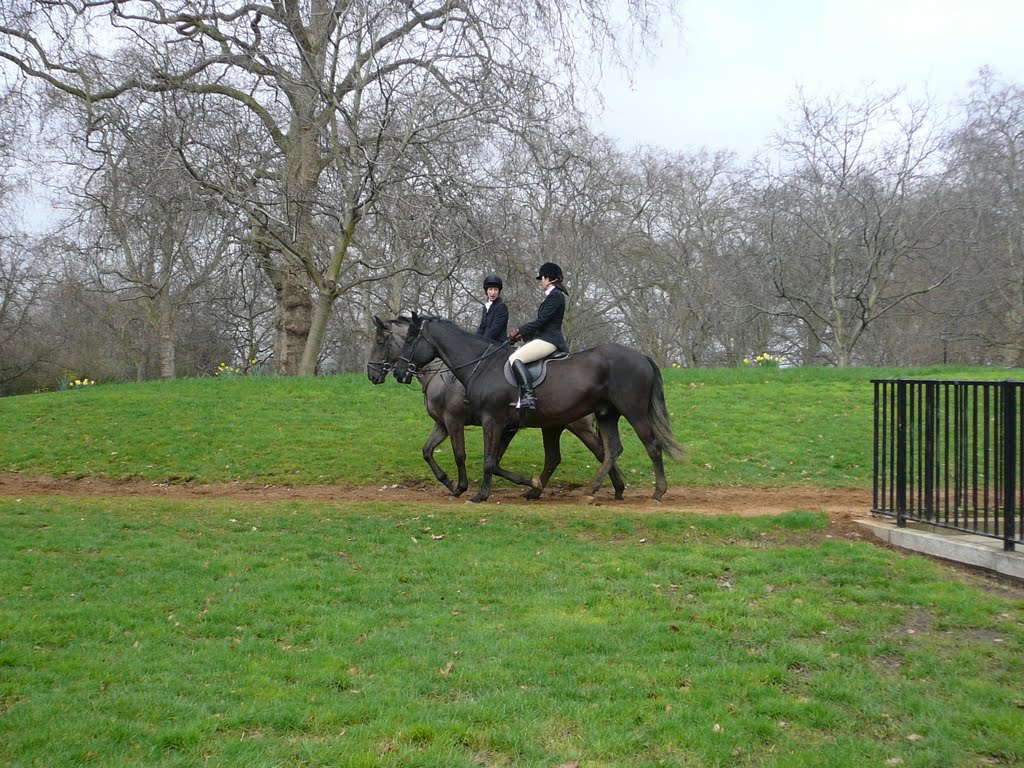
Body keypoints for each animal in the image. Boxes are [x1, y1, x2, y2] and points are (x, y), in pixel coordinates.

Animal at [368, 315, 622, 501]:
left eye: (380, 342)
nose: (373, 375)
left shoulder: (455, 421)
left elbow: (462, 455)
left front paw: (462, 487)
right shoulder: (442, 424)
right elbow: (427, 451)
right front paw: (451, 484)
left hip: (578, 426)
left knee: (601, 452)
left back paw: (608, 488)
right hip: (553, 425)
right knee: (559, 458)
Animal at [395, 313, 684, 505]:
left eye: (410, 339)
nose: (398, 372)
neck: (482, 365)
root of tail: (641, 356)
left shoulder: (492, 420)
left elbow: (488, 460)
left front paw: (480, 495)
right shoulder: (494, 424)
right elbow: (492, 460)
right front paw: (528, 483)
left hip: (632, 411)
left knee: (651, 446)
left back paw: (657, 492)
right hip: (605, 415)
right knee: (610, 450)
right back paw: (594, 489)